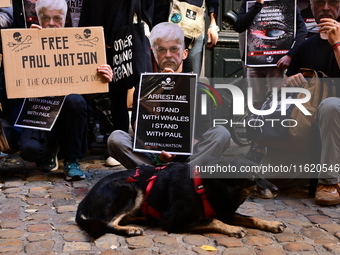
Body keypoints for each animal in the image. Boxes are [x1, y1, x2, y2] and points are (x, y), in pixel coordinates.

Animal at [75, 157, 286, 239]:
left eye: (262, 172)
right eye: (251, 177)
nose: (276, 189)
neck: (204, 187)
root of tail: (82, 204)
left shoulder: (225, 211)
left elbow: (250, 217)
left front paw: (271, 224)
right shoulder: (175, 221)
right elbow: (212, 220)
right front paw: (233, 229)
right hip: (131, 189)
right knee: (109, 223)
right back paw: (130, 230)